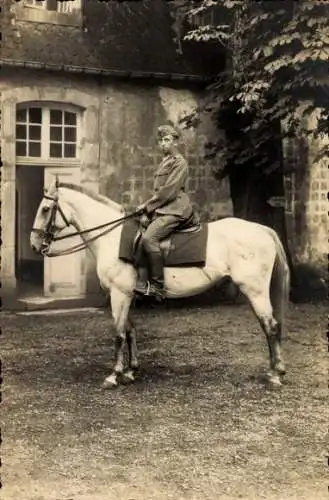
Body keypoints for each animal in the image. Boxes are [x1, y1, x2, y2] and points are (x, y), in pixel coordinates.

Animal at [29, 180, 288, 386]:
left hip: (255, 290)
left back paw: (275, 374)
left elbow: (118, 333)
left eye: (45, 209)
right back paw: (275, 370)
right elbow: (130, 330)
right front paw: (131, 371)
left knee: (271, 326)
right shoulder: (127, 294)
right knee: (270, 326)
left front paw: (114, 375)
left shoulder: (119, 294)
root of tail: (263, 230)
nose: (34, 245)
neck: (111, 237)